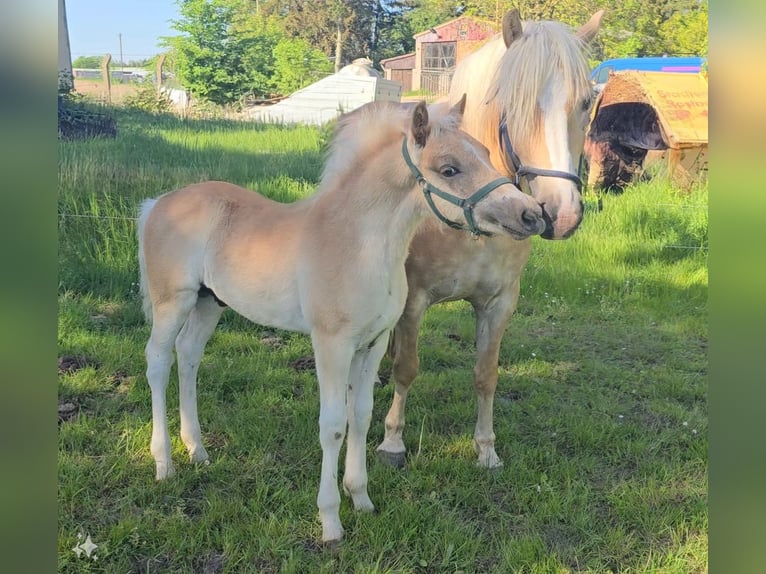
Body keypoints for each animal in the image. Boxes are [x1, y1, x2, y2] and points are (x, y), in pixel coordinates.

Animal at [138, 95, 544, 544]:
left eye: (487, 153)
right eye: (449, 169)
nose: (531, 214)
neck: (361, 245)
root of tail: (157, 204)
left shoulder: (373, 343)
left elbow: (360, 415)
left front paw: (361, 498)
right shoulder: (331, 344)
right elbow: (332, 424)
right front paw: (330, 521)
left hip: (209, 303)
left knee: (189, 356)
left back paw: (197, 449)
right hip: (172, 303)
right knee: (158, 362)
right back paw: (164, 463)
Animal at [378, 10, 608, 472]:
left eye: (585, 103)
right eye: (515, 104)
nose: (560, 214)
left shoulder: (500, 302)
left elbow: (486, 375)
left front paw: (486, 449)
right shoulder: (414, 300)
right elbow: (406, 368)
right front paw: (393, 442)